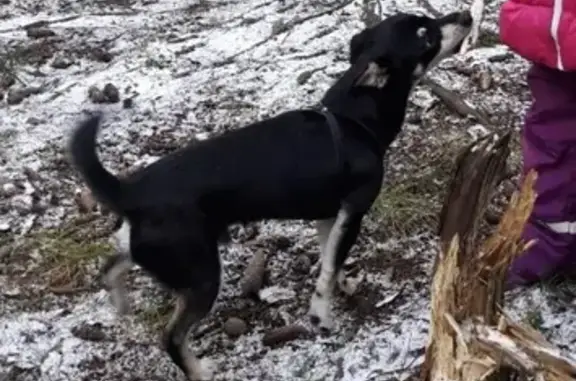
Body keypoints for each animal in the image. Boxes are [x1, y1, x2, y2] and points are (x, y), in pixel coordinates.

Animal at [68, 10, 472, 378]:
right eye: (425, 34)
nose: (467, 14)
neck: (352, 120)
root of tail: (129, 191)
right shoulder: (354, 210)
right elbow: (328, 268)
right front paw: (321, 316)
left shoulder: (332, 215)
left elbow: (331, 259)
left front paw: (342, 285)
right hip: (201, 276)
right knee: (171, 338)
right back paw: (199, 371)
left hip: (167, 256)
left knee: (112, 264)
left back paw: (120, 304)